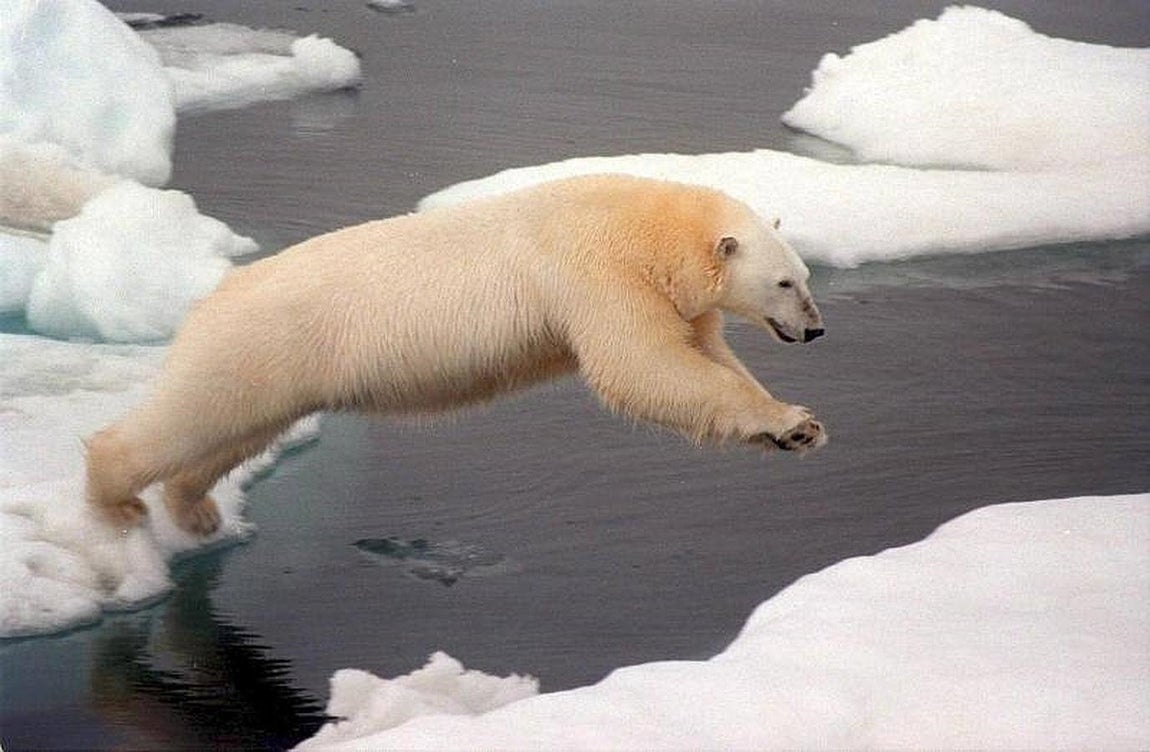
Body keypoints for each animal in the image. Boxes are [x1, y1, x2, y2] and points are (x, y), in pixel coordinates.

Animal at [85, 174, 826, 536]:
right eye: (785, 283)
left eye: (804, 275)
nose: (816, 330)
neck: (648, 225)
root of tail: (209, 297)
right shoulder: (596, 272)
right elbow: (642, 367)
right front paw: (791, 420)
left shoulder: (673, 296)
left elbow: (703, 355)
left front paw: (797, 427)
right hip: (259, 342)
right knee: (190, 417)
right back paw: (116, 501)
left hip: (277, 367)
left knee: (235, 432)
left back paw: (195, 509)